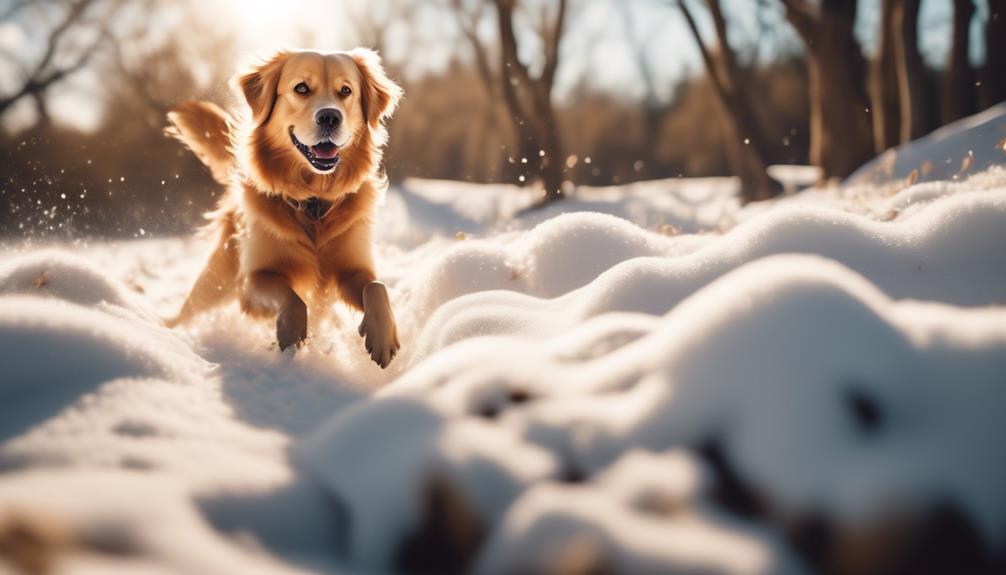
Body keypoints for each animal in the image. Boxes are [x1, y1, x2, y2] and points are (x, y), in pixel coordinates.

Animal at [163, 47, 400, 365]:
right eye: (301, 88)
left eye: (346, 91)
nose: (330, 117)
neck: (313, 200)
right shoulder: (252, 280)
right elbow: (293, 299)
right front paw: (292, 337)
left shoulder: (353, 269)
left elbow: (377, 287)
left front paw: (383, 337)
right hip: (217, 277)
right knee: (190, 309)